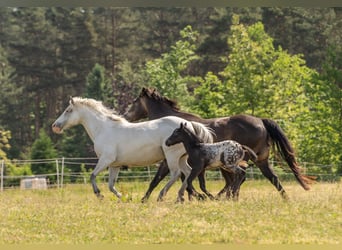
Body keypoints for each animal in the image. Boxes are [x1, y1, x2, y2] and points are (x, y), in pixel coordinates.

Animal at [52, 96, 212, 202]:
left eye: (68, 110)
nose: (55, 126)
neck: (103, 129)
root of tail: (189, 124)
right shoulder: (114, 165)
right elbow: (111, 185)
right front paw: (123, 197)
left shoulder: (105, 159)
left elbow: (92, 175)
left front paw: (99, 194)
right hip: (181, 158)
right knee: (188, 173)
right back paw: (181, 196)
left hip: (171, 157)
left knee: (176, 174)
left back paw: (162, 195)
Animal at [124, 87, 314, 201]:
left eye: (134, 101)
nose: (125, 116)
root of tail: (261, 120)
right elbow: (186, 181)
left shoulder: (169, 160)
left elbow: (157, 180)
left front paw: (146, 199)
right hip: (260, 161)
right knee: (271, 178)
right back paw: (284, 198)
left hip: (239, 162)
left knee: (240, 178)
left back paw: (227, 197)